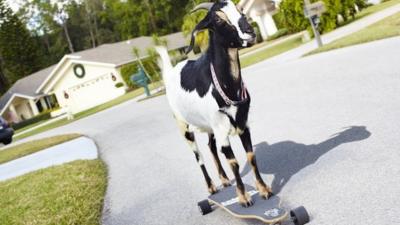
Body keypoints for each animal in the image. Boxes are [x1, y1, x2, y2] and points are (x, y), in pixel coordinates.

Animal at [156, 0, 272, 207]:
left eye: (241, 11)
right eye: (218, 19)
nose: (250, 32)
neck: (226, 87)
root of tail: (171, 71)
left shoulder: (243, 124)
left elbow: (250, 156)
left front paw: (264, 189)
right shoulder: (222, 130)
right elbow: (233, 162)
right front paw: (243, 198)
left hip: (209, 126)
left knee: (210, 146)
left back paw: (224, 180)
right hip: (183, 126)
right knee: (198, 155)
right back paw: (211, 187)